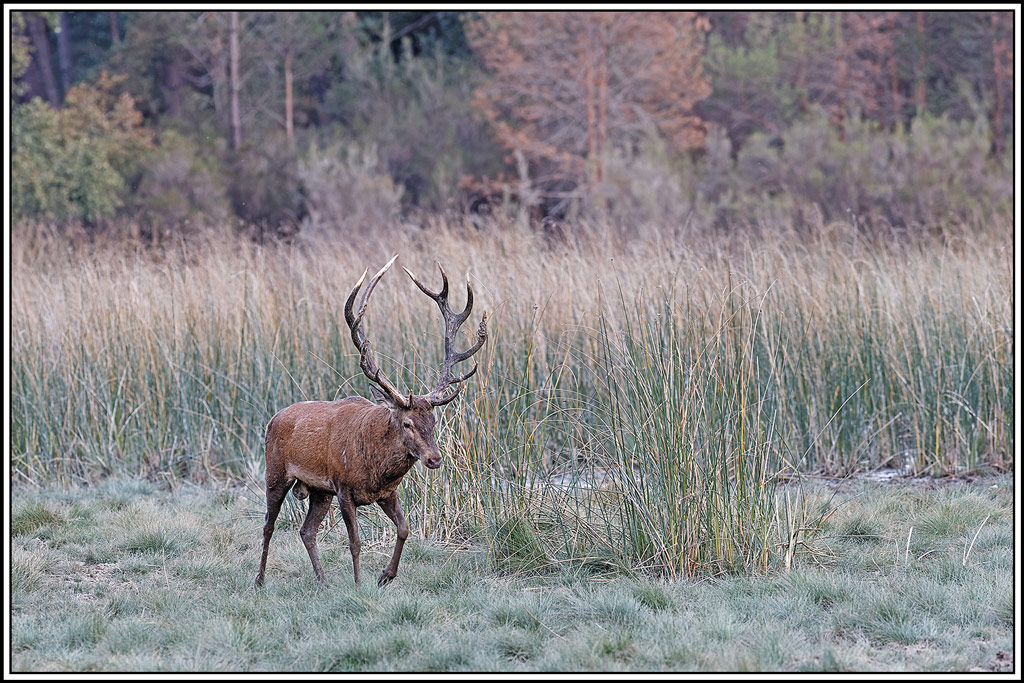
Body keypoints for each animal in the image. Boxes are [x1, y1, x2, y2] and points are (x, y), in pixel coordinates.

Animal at [255, 254, 487, 588]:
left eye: (433, 421)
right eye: (407, 423)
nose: (434, 459)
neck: (376, 469)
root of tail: (273, 418)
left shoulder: (386, 492)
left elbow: (404, 528)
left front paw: (385, 576)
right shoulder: (343, 487)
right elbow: (355, 542)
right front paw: (358, 583)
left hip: (318, 492)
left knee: (306, 530)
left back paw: (323, 582)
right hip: (275, 472)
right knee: (268, 525)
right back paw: (260, 580)